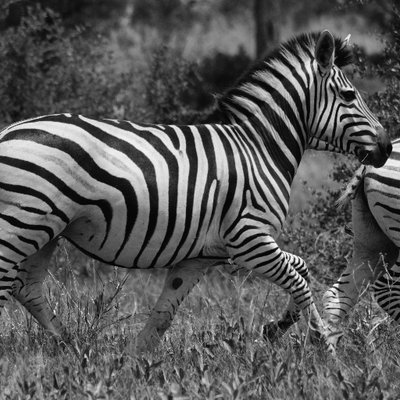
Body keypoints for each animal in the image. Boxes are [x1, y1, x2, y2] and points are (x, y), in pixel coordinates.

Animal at [0, 28, 390, 354]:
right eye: (349, 95)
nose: (387, 148)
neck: (259, 147)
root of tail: (9, 130)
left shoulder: (199, 257)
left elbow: (164, 314)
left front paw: (132, 362)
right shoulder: (248, 239)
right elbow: (298, 278)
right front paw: (323, 346)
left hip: (47, 230)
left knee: (27, 287)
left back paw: (69, 345)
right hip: (23, 223)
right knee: (10, 283)